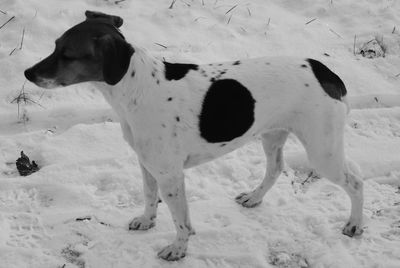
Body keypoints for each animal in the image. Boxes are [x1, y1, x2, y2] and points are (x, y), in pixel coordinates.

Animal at [23, 11, 364, 262]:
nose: (27, 73)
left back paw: (354, 225)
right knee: (275, 169)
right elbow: (149, 197)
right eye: (55, 45)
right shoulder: (148, 165)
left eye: (67, 55)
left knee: (356, 182)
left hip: (323, 151)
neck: (136, 88)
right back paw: (254, 198)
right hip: (272, 135)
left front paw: (178, 249)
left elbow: (181, 220)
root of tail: (326, 72)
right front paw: (147, 222)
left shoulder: (171, 175)